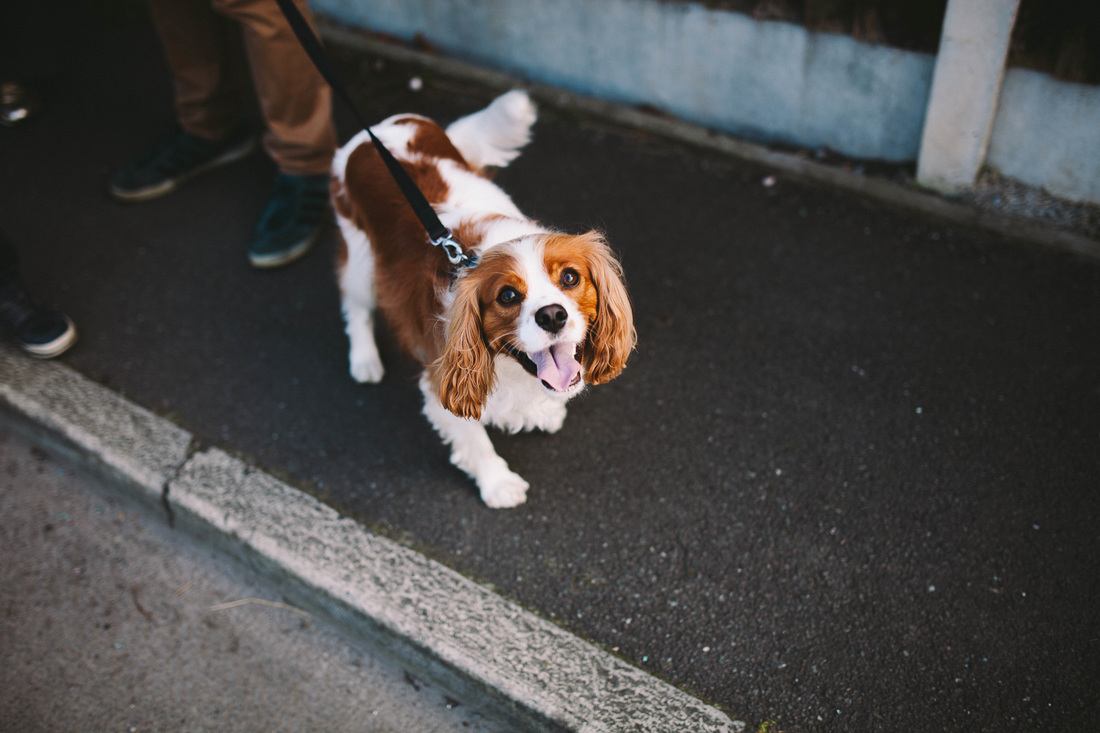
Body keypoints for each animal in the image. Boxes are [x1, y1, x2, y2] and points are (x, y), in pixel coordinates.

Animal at [330, 91, 633, 506]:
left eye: (570, 277)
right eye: (507, 296)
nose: (552, 315)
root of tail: (373, 131)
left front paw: (547, 413)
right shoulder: (441, 376)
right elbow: (475, 439)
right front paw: (499, 484)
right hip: (363, 259)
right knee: (355, 304)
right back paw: (364, 359)